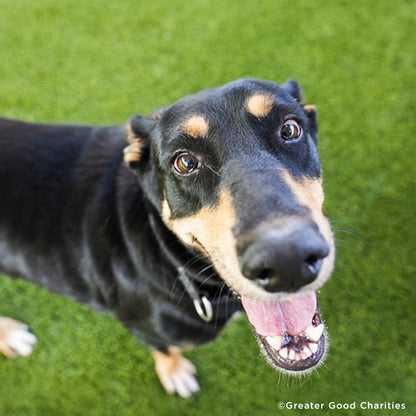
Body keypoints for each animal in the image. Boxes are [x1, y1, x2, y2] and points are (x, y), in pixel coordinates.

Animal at [0, 79, 334, 398]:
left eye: (289, 129)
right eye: (185, 162)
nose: (287, 259)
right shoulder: (142, 326)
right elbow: (164, 349)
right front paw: (175, 373)